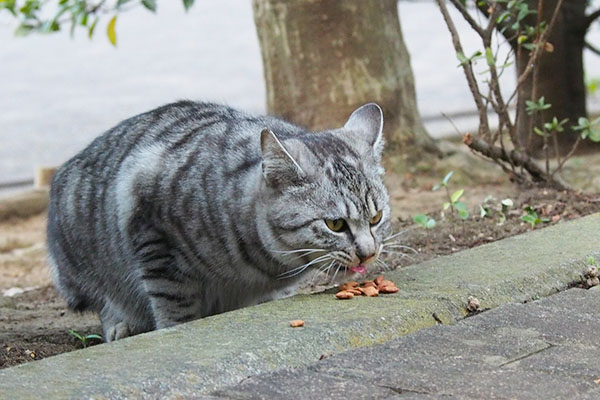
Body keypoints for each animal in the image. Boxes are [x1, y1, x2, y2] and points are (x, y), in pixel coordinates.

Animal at [48, 100, 394, 340]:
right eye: (335, 224)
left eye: (376, 217)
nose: (368, 253)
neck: (263, 267)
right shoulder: (153, 234)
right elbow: (173, 306)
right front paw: (176, 327)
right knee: (104, 301)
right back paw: (121, 325)